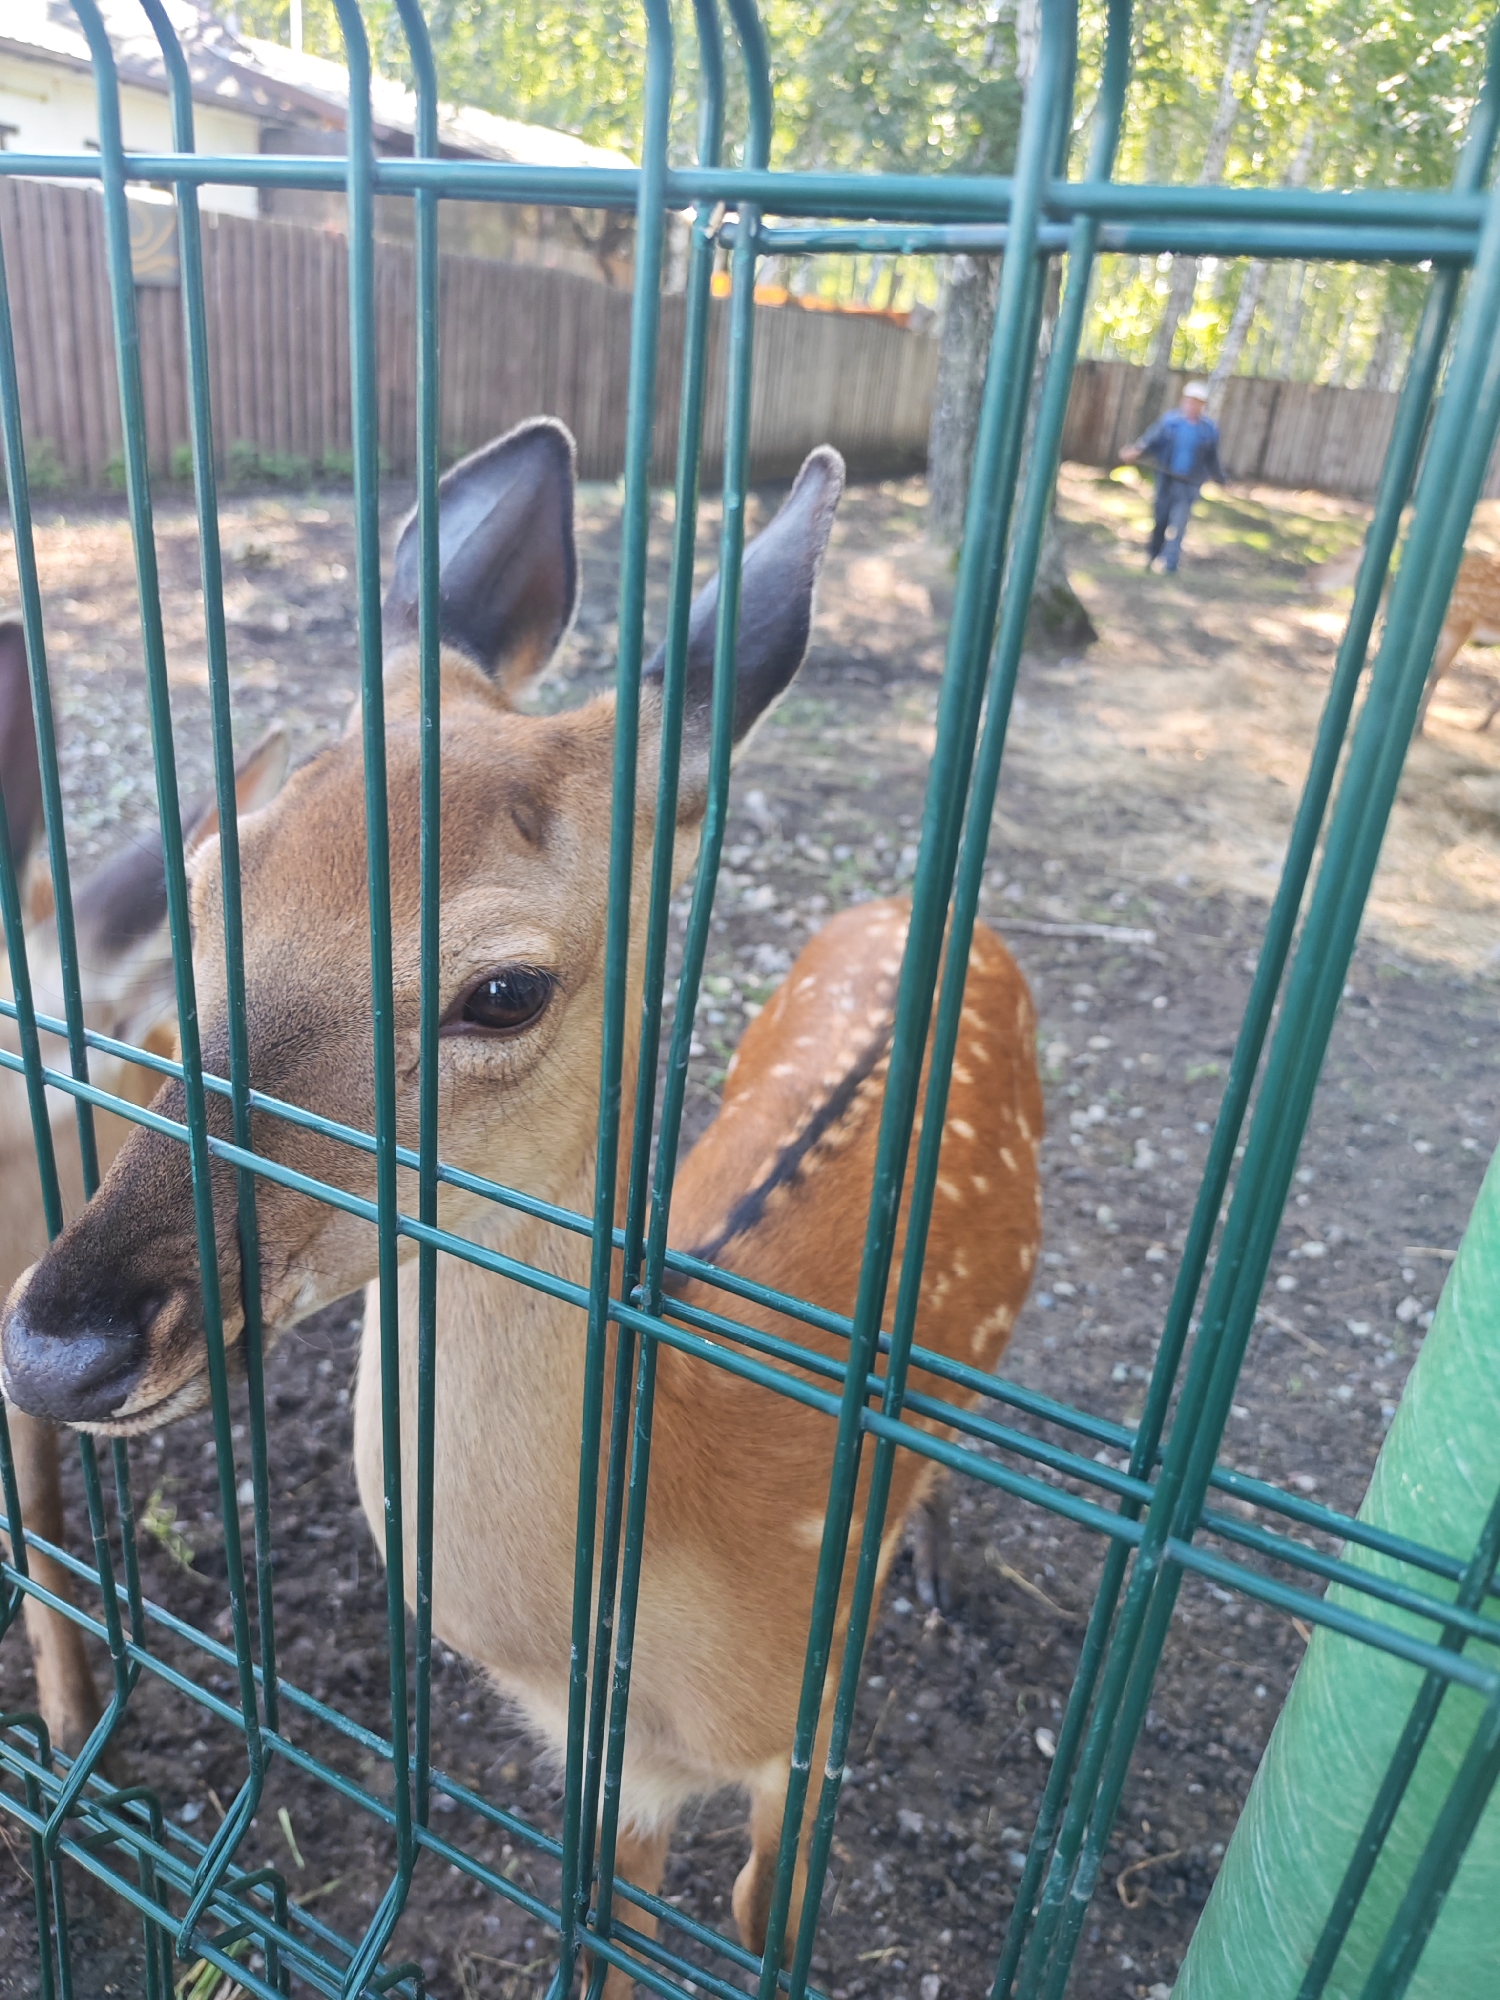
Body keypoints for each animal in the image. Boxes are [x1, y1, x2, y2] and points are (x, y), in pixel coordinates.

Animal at [1305, 541, 1500, 731]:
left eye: (1340, 560)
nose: (1308, 579)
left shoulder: (1460, 627)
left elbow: (1435, 675)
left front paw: (1418, 725)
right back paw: (1483, 724)